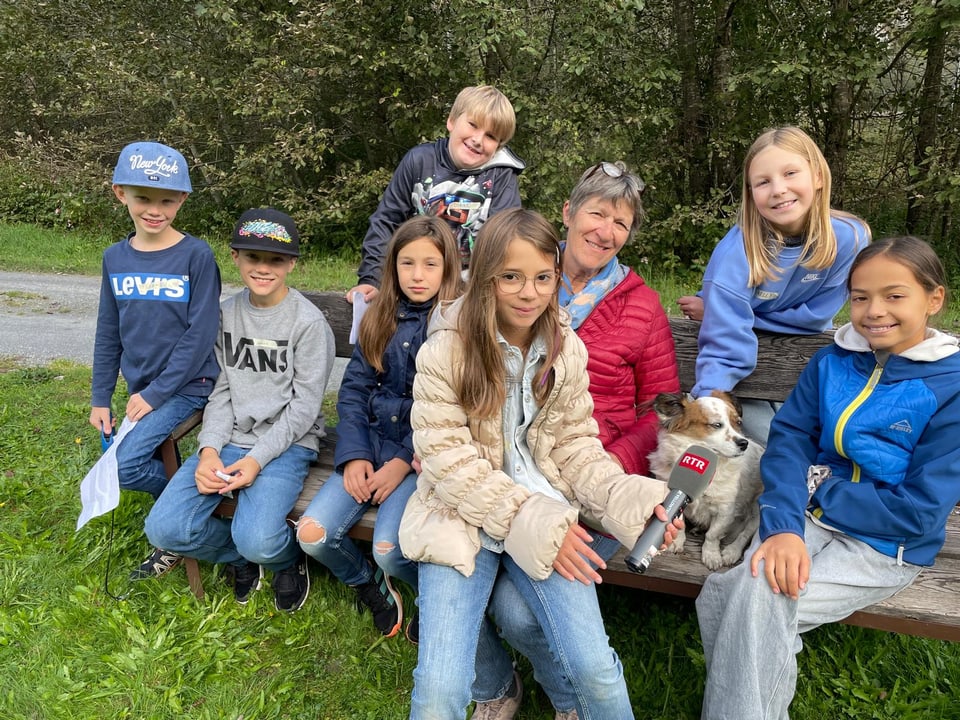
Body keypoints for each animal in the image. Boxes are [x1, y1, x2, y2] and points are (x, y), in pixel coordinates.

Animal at [644, 390, 764, 572]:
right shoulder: (676, 496)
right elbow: (679, 523)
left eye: (738, 423)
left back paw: (731, 552)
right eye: (716, 425)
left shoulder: (725, 509)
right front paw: (676, 541)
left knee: (745, 533)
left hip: (757, 511)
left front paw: (711, 555)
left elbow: (713, 535)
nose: (744, 443)